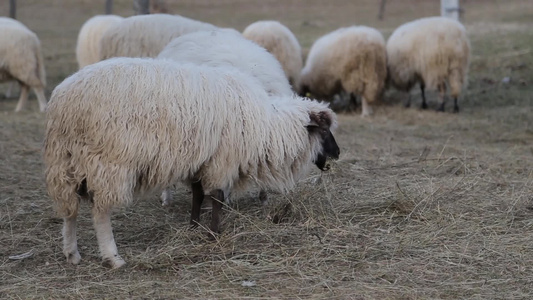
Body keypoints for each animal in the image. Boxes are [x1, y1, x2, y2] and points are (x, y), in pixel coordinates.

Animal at [43, 57, 338, 268]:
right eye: (324, 130)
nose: (337, 153)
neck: (267, 127)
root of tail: (63, 102)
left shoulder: (201, 160)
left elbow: (197, 193)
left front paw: (194, 226)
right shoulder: (221, 159)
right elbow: (217, 196)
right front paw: (214, 234)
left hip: (65, 161)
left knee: (69, 209)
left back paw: (72, 253)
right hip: (108, 162)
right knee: (100, 212)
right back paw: (112, 257)